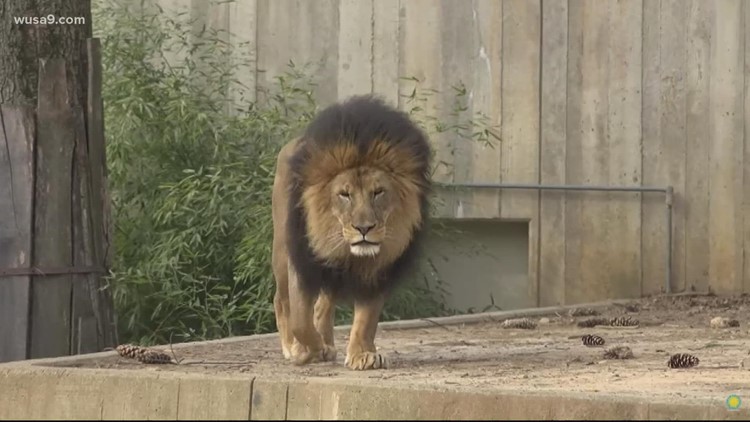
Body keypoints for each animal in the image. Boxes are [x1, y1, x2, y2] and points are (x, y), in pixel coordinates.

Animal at [274, 93, 432, 370]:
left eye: (378, 192)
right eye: (344, 194)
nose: (364, 228)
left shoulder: (379, 267)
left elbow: (366, 318)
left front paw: (362, 354)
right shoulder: (302, 260)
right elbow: (300, 321)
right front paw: (307, 351)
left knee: (323, 305)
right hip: (282, 254)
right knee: (281, 301)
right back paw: (292, 347)